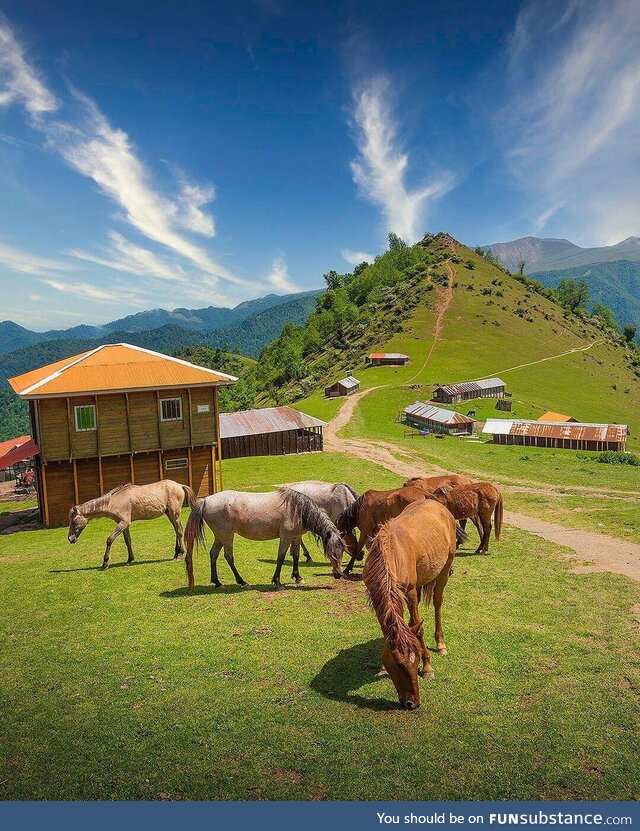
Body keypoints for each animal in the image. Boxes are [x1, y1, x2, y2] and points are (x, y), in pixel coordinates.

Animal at [67, 480, 198, 572]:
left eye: (74, 522)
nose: (70, 539)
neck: (115, 501)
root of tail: (179, 485)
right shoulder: (124, 524)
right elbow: (127, 541)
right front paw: (129, 560)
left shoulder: (124, 523)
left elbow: (110, 540)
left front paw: (105, 564)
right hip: (169, 514)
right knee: (176, 531)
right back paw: (176, 553)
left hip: (174, 514)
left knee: (179, 531)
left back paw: (180, 554)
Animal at [362, 498, 462, 712]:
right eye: (399, 665)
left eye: (415, 662)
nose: (413, 703)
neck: (392, 551)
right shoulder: (377, 596)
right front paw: (382, 668)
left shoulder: (410, 592)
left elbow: (419, 628)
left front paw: (428, 668)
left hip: (444, 568)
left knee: (437, 601)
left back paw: (441, 644)